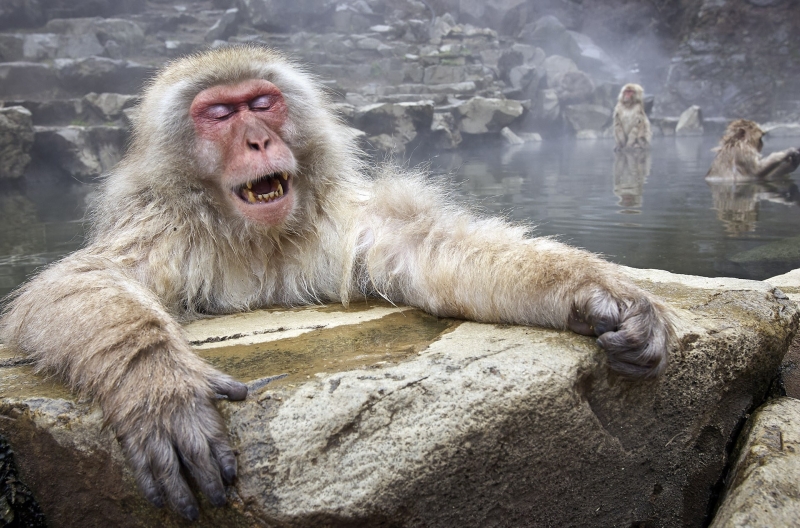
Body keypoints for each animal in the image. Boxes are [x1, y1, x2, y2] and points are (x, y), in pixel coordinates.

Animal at [0, 46, 674, 520]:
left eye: (261, 104)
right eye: (219, 114)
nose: (257, 139)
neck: (259, 241)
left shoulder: (343, 220)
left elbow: (429, 248)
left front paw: (597, 291)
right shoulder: (164, 229)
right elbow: (84, 278)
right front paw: (157, 386)